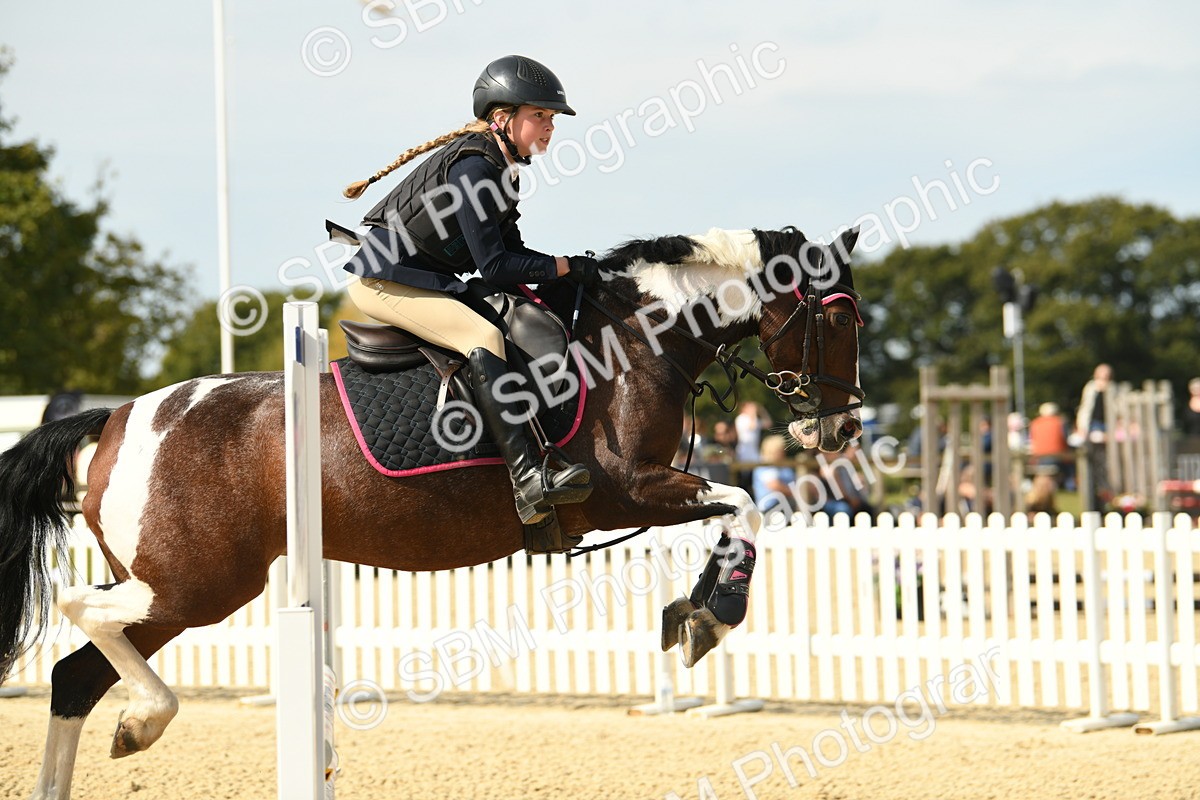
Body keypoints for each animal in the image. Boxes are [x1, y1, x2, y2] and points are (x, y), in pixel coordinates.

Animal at [0, 224, 864, 799]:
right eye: (840, 320)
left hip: (183, 591)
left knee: (75, 676)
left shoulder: (643, 494)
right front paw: (713, 614)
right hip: (195, 583)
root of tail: (115, 420)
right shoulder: (627, 486)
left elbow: (735, 512)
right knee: (82, 611)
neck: (635, 341)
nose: (844, 430)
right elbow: (745, 504)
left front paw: (693, 612)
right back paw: (145, 718)